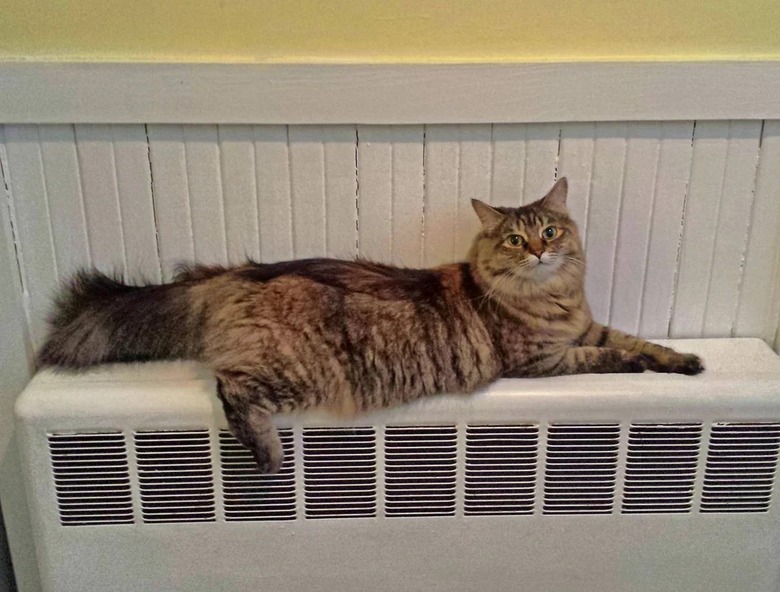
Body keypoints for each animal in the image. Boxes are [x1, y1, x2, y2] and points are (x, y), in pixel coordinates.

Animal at [39, 178, 704, 474]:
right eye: (515, 239)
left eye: (551, 230)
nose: (540, 251)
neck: (553, 299)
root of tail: (238, 274)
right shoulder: (545, 359)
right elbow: (618, 357)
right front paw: (649, 366)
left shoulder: (586, 331)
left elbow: (640, 343)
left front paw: (686, 362)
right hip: (291, 372)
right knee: (231, 390)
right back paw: (268, 457)